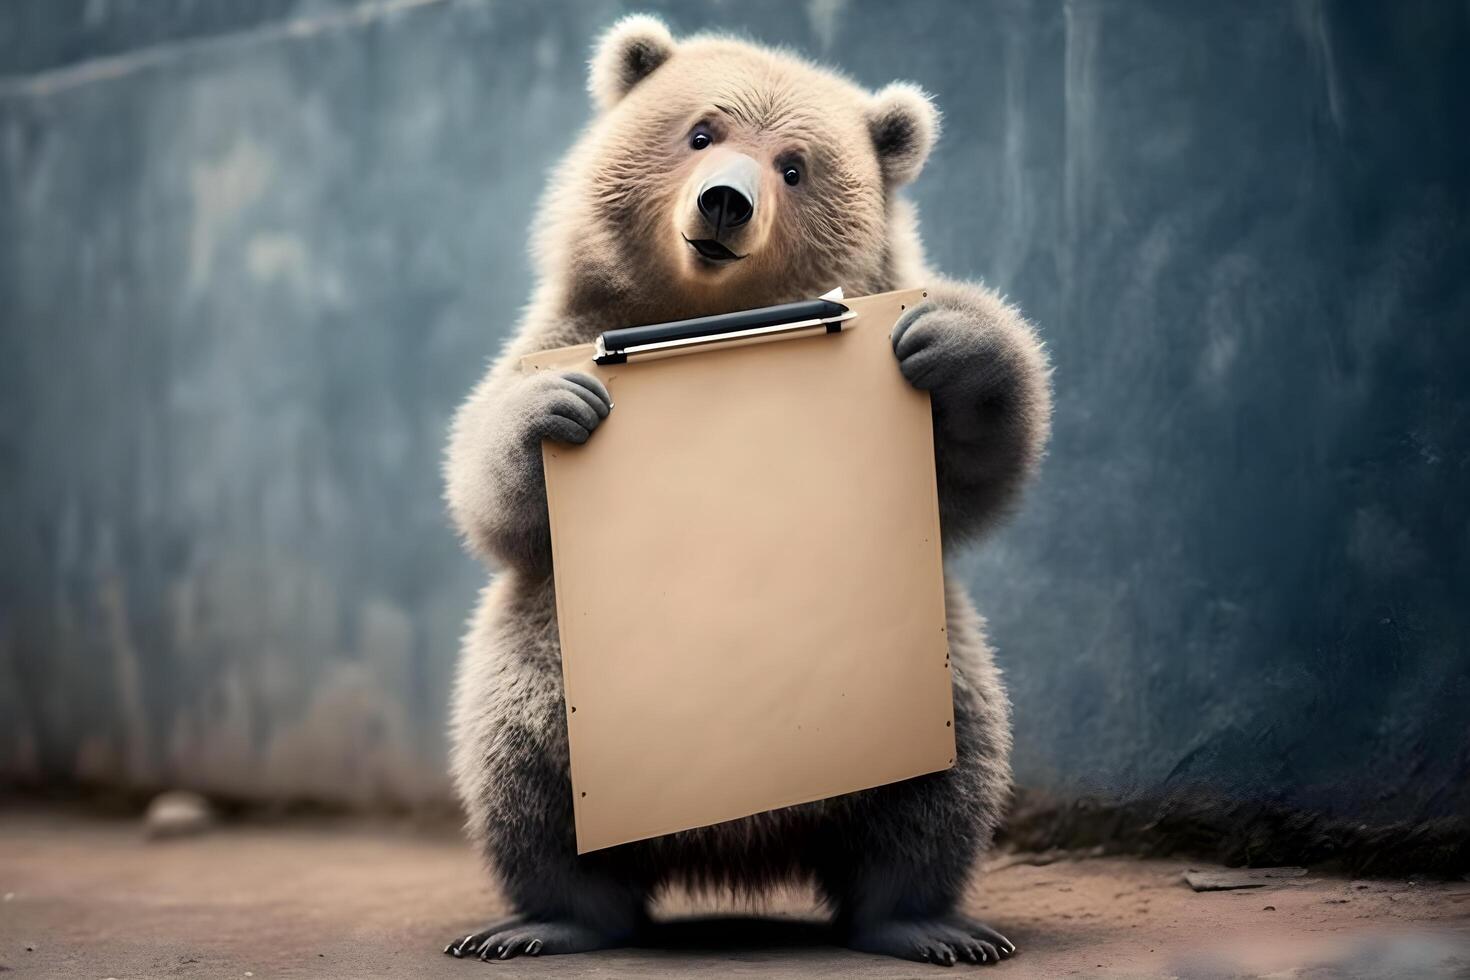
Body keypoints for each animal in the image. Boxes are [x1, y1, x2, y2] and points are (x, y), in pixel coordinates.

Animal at [441, 11, 1052, 969]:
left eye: (795, 164)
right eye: (702, 131)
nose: (724, 202)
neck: (708, 320)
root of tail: (739, 846)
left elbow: (970, 472)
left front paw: (946, 337)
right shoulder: (565, 324)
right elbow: (490, 490)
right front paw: (558, 404)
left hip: (933, 677)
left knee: (940, 790)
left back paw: (928, 923)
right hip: (544, 682)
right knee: (522, 779)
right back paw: (545, 921)